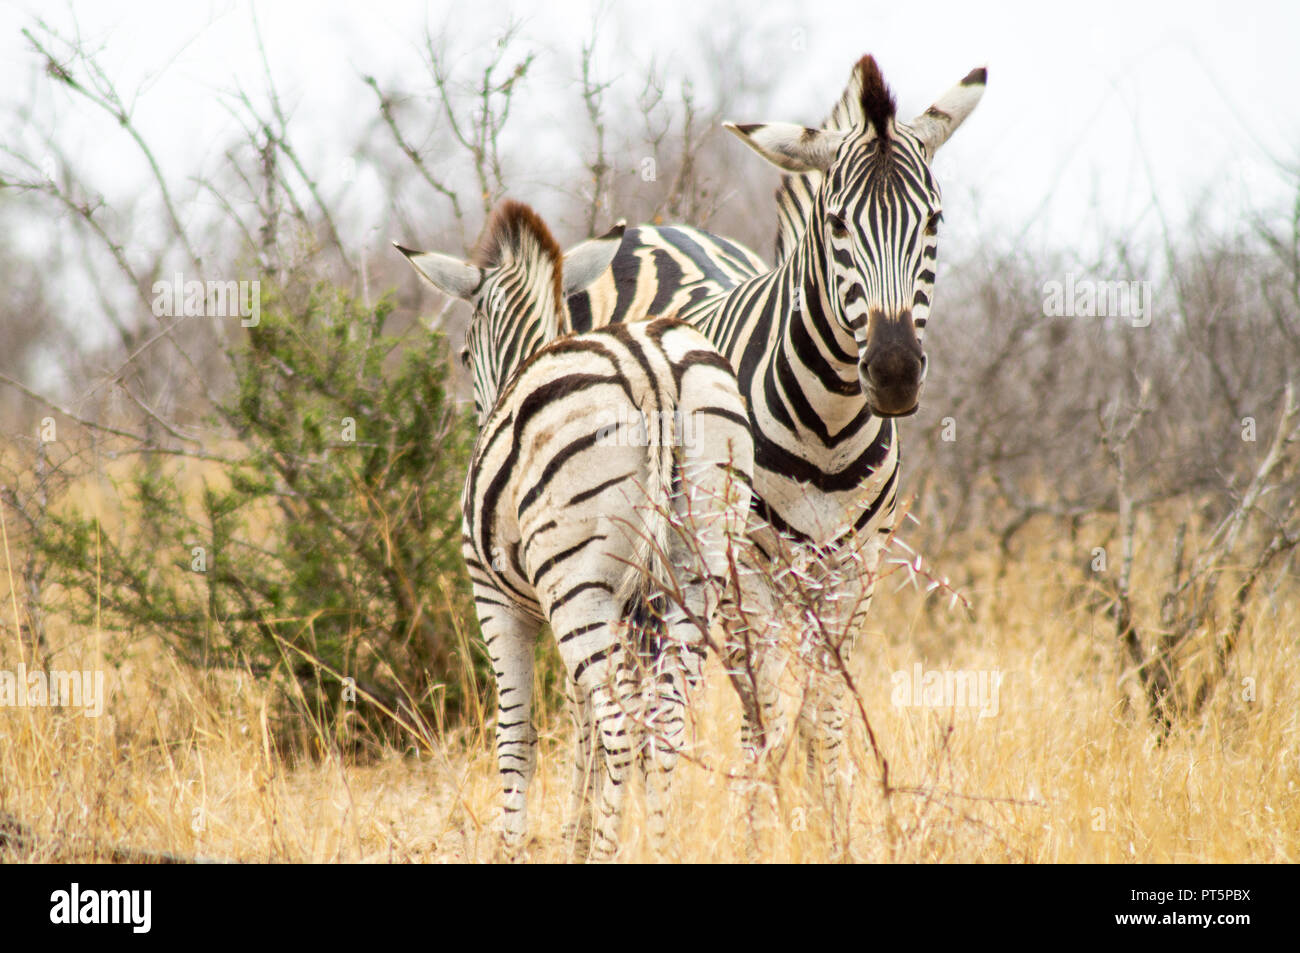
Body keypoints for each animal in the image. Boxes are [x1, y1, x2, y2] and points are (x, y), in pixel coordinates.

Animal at [400, 197, 759, 858]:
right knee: (662, 724)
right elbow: (580, 720)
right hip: (697, 573)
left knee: (622, 724)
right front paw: (578, 832)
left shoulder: (496, 602)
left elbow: (518, 739)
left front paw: (517, 848)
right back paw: (660, 849)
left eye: (462, 355)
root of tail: (652, 368)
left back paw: (610, 855)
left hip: (577, 585)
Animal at [566, 55, 982, 800]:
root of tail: (650, 227)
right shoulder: (746, 574)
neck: (830, 428)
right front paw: (763, 809)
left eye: (933, 221)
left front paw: (829, 811)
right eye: (838, 225)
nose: (895, 371)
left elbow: (825, 711)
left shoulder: (855, 569)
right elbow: (763, 707)